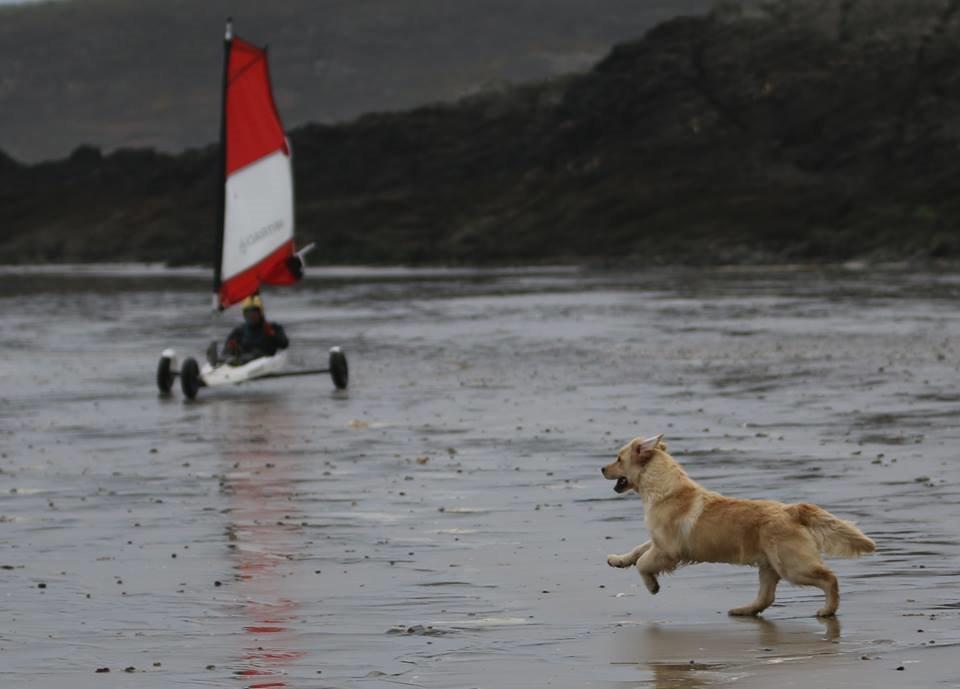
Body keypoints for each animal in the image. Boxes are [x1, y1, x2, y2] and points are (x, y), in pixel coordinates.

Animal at [604, 432, 872, 616]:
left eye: (618, 458)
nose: (601, 468)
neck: (664, 489)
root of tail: (792, 509)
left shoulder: (668, 549)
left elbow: (643, 562)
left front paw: (652, 586)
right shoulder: (658, 540)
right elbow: (638, 549)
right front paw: (618, 559)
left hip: (792, 565)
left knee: (829, 578)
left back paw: (827, 610)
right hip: (769, 566)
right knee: (766, 597)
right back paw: (743, 610)